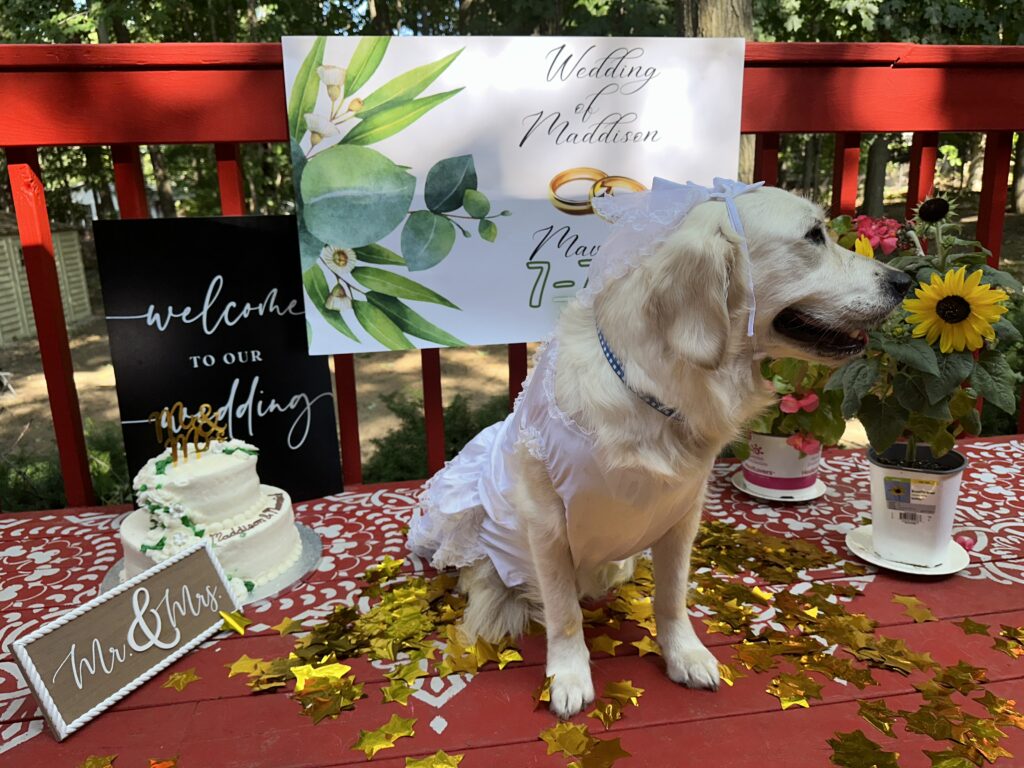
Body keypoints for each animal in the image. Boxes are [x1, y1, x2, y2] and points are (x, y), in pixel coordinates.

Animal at [409, 184, 911, 718]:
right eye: (814, 236)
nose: (904, 280)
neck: (657, 390)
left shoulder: (680, 513)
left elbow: (672, 597)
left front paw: (683, 654)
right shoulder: (545, 520)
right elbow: (564, 610)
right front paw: (569, 676)